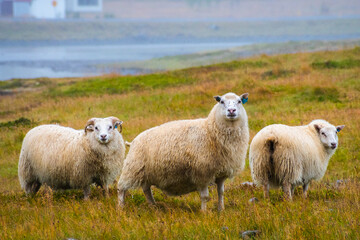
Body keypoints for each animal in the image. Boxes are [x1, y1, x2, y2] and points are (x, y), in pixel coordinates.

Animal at [116, 92, 249, 210]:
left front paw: (221, 210)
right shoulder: (202, 172)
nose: (231, 111)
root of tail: (133, 141)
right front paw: (204, 213)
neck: (210, 130)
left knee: (146, 189)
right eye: (221, 101)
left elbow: (221, 193)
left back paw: (153, 206)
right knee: (121, 188)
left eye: (239, 101)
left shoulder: (221, 173)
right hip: (132, 168)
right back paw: (121, 208)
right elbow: (205, 197)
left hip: (145, 172)